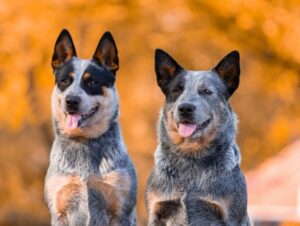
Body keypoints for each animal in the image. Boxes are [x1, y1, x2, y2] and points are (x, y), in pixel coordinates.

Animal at [44, 29, 137, 225]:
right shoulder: (59, 209)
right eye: (65, 81)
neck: (83, 141)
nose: (71, 101)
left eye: (92, 82)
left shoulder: (121, 210)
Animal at [145, 48, 251, 225]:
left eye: (206, 91)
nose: (185, 108)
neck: (191, 158)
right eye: (177, 90)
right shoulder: (157, 211)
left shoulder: (230, 216)